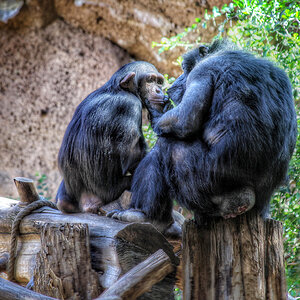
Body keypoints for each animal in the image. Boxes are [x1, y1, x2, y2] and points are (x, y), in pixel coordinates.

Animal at [55, 61, 166, 214]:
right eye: (150, 80)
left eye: (159, 82)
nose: (159, 90)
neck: (119, 89)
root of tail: (85, 202)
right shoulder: (130, 106)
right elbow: (131, 157)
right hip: (111, 192)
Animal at [109, 38, 298, 233]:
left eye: (185, 69)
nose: (176, 81)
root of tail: (243, 201)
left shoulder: (202, 71)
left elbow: (184, 119)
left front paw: (156, 109)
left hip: (203, 183)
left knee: (164, 148)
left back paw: (147, 217)